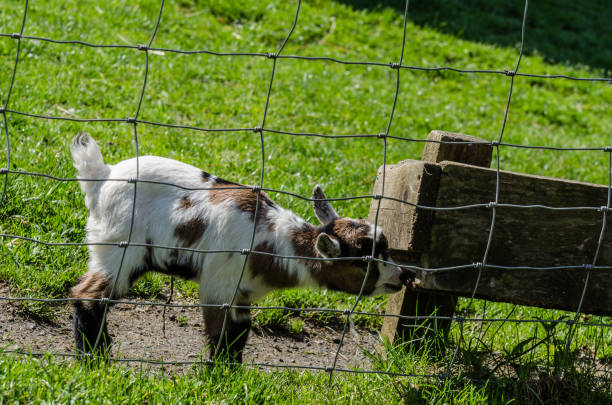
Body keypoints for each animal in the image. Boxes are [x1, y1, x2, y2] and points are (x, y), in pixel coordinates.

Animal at [69, 133, 412, 360]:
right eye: (364, 261)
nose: (403, 276)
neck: (271, 241)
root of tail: (103, 176)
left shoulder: (243, 295)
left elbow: (238, 337)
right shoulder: (219, 285)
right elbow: (220, 336)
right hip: (119, 249)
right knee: (88, 295)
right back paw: (96, 356)